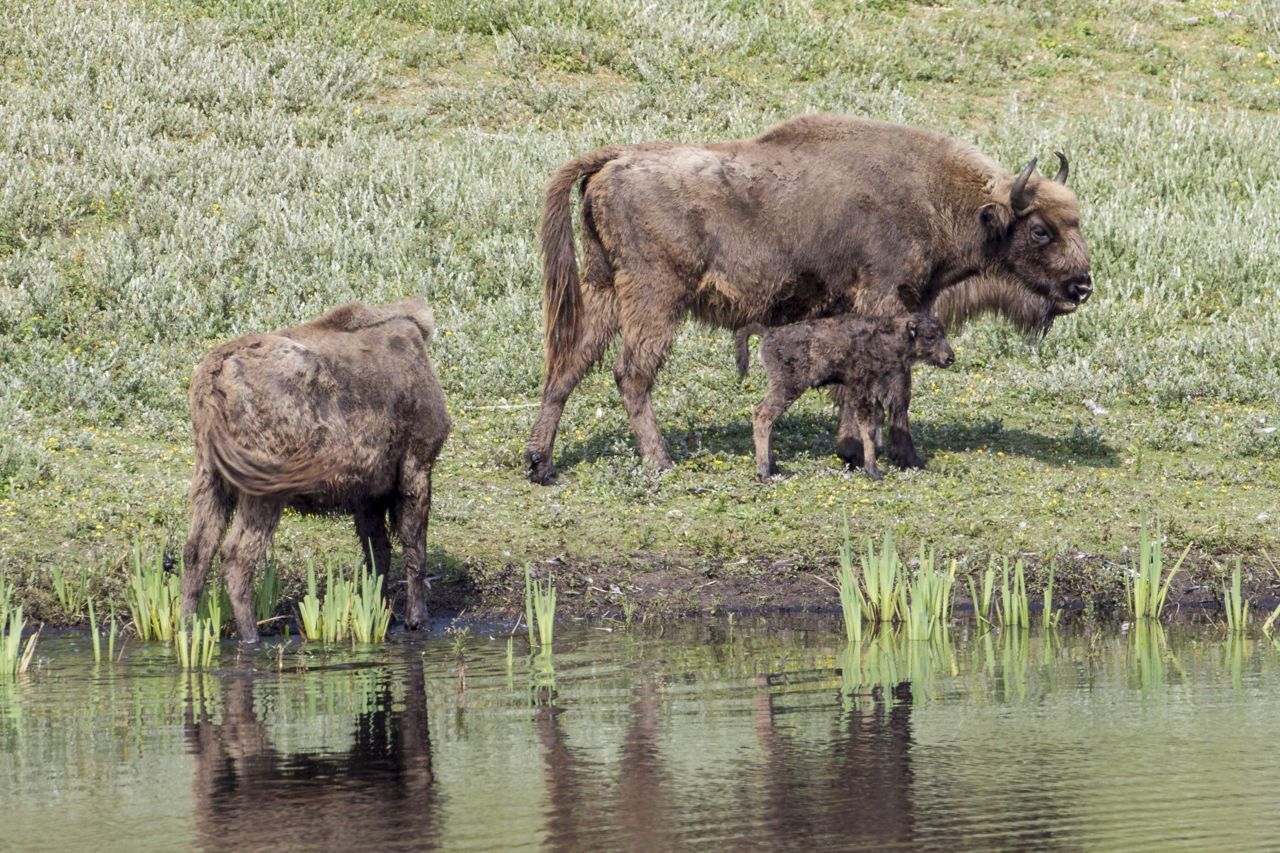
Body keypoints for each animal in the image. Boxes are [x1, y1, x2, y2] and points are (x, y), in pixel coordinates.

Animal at [752, 313, 957, 484]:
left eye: (943, 333)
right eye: (930, 336)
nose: (949, 358)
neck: (886, 338)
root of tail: (768, 333)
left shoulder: (868, 392)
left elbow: (878, 416)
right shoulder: (862, 391)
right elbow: (868, 427)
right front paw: (873, 471)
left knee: (767, 418)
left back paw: (774, 469)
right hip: (788, 387)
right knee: (763, 415)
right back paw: (765, 474)